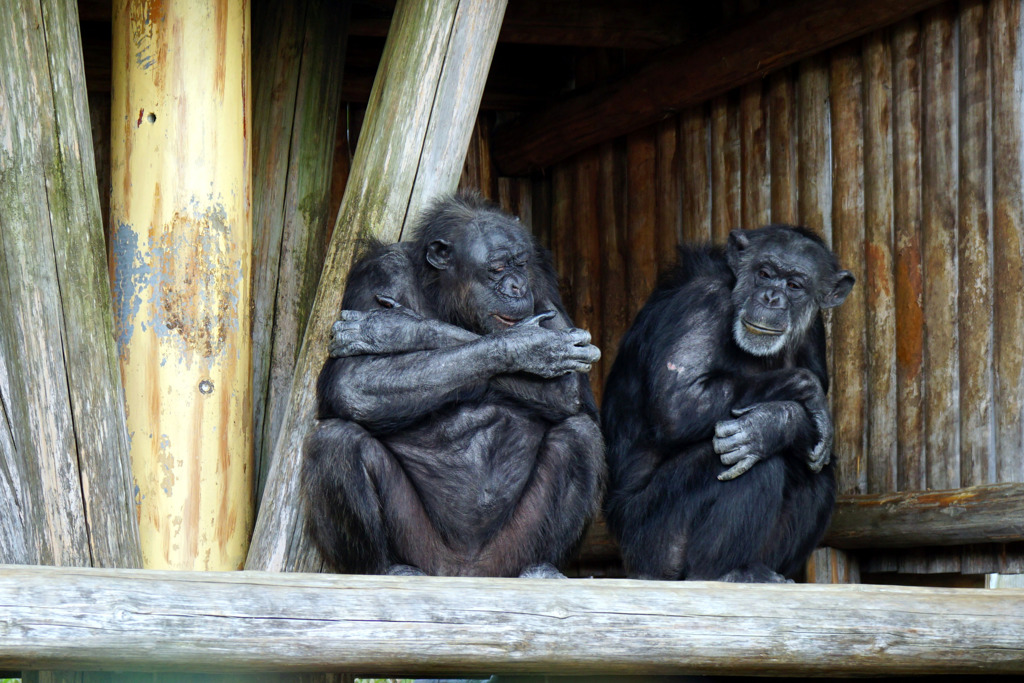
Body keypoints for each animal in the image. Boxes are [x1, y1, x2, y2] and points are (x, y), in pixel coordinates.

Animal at [299, 192, 602, 577]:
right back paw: (387, 568)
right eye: (497, 268)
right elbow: (350, 380)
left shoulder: (542, 276)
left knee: (580, 434)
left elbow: (571, 390)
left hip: (510, 551)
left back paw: (541, 567)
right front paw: (529, 346)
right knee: (336, 441)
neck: (445, 299)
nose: (517, 285)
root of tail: (464, 570)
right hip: (422, 547)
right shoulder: (379, 271)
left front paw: (394, 327)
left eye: (519, 263)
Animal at [598, 225, 856, 581]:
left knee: (813, 468)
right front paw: (800, 402)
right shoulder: (702, 303)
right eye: (764, 273)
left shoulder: (815, 330)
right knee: (748, 461)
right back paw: (724, 572)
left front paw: (777, 424)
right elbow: (680, 402)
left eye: (794, 285)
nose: (771, 297)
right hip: (653, 544)